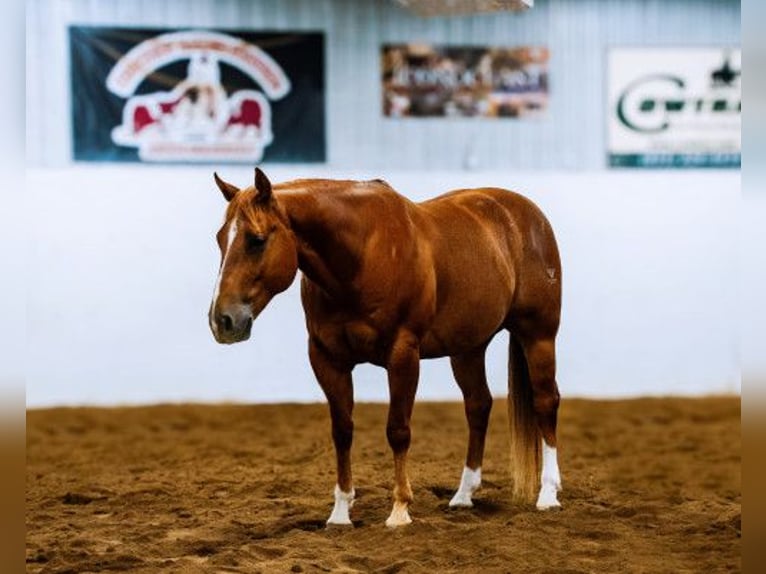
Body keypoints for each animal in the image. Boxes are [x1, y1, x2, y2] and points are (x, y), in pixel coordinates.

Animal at [210, 169, 564, 528]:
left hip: (538, 335)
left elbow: (397, 430)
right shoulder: (327, 358)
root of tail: (527, 215)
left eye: (256, 239)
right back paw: (464, 495)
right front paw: (340, 512)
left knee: (545, 401)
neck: (362, 257)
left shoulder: (402, 354)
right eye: (220, 238)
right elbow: (342, 430)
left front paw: (400, 509)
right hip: (468, 348)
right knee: (478, 405)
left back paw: (548, 494)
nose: (221, 320)